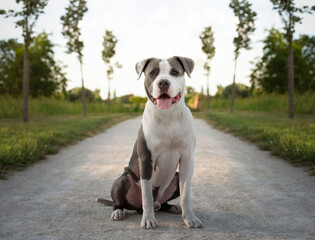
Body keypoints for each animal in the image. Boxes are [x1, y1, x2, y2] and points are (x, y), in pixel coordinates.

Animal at [96, 55, 204, 229]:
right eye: (153, 73)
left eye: (175, 72)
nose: (163, 83)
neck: (167, 116)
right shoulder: (147, 160)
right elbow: (146, 195)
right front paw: (148, 220)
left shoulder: (187, 159)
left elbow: (186, 194)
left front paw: (190, 218)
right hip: (122, 180)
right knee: (121, 202)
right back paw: (118, 212)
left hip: (175, 177)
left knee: (162, 201)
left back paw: (170, 207)